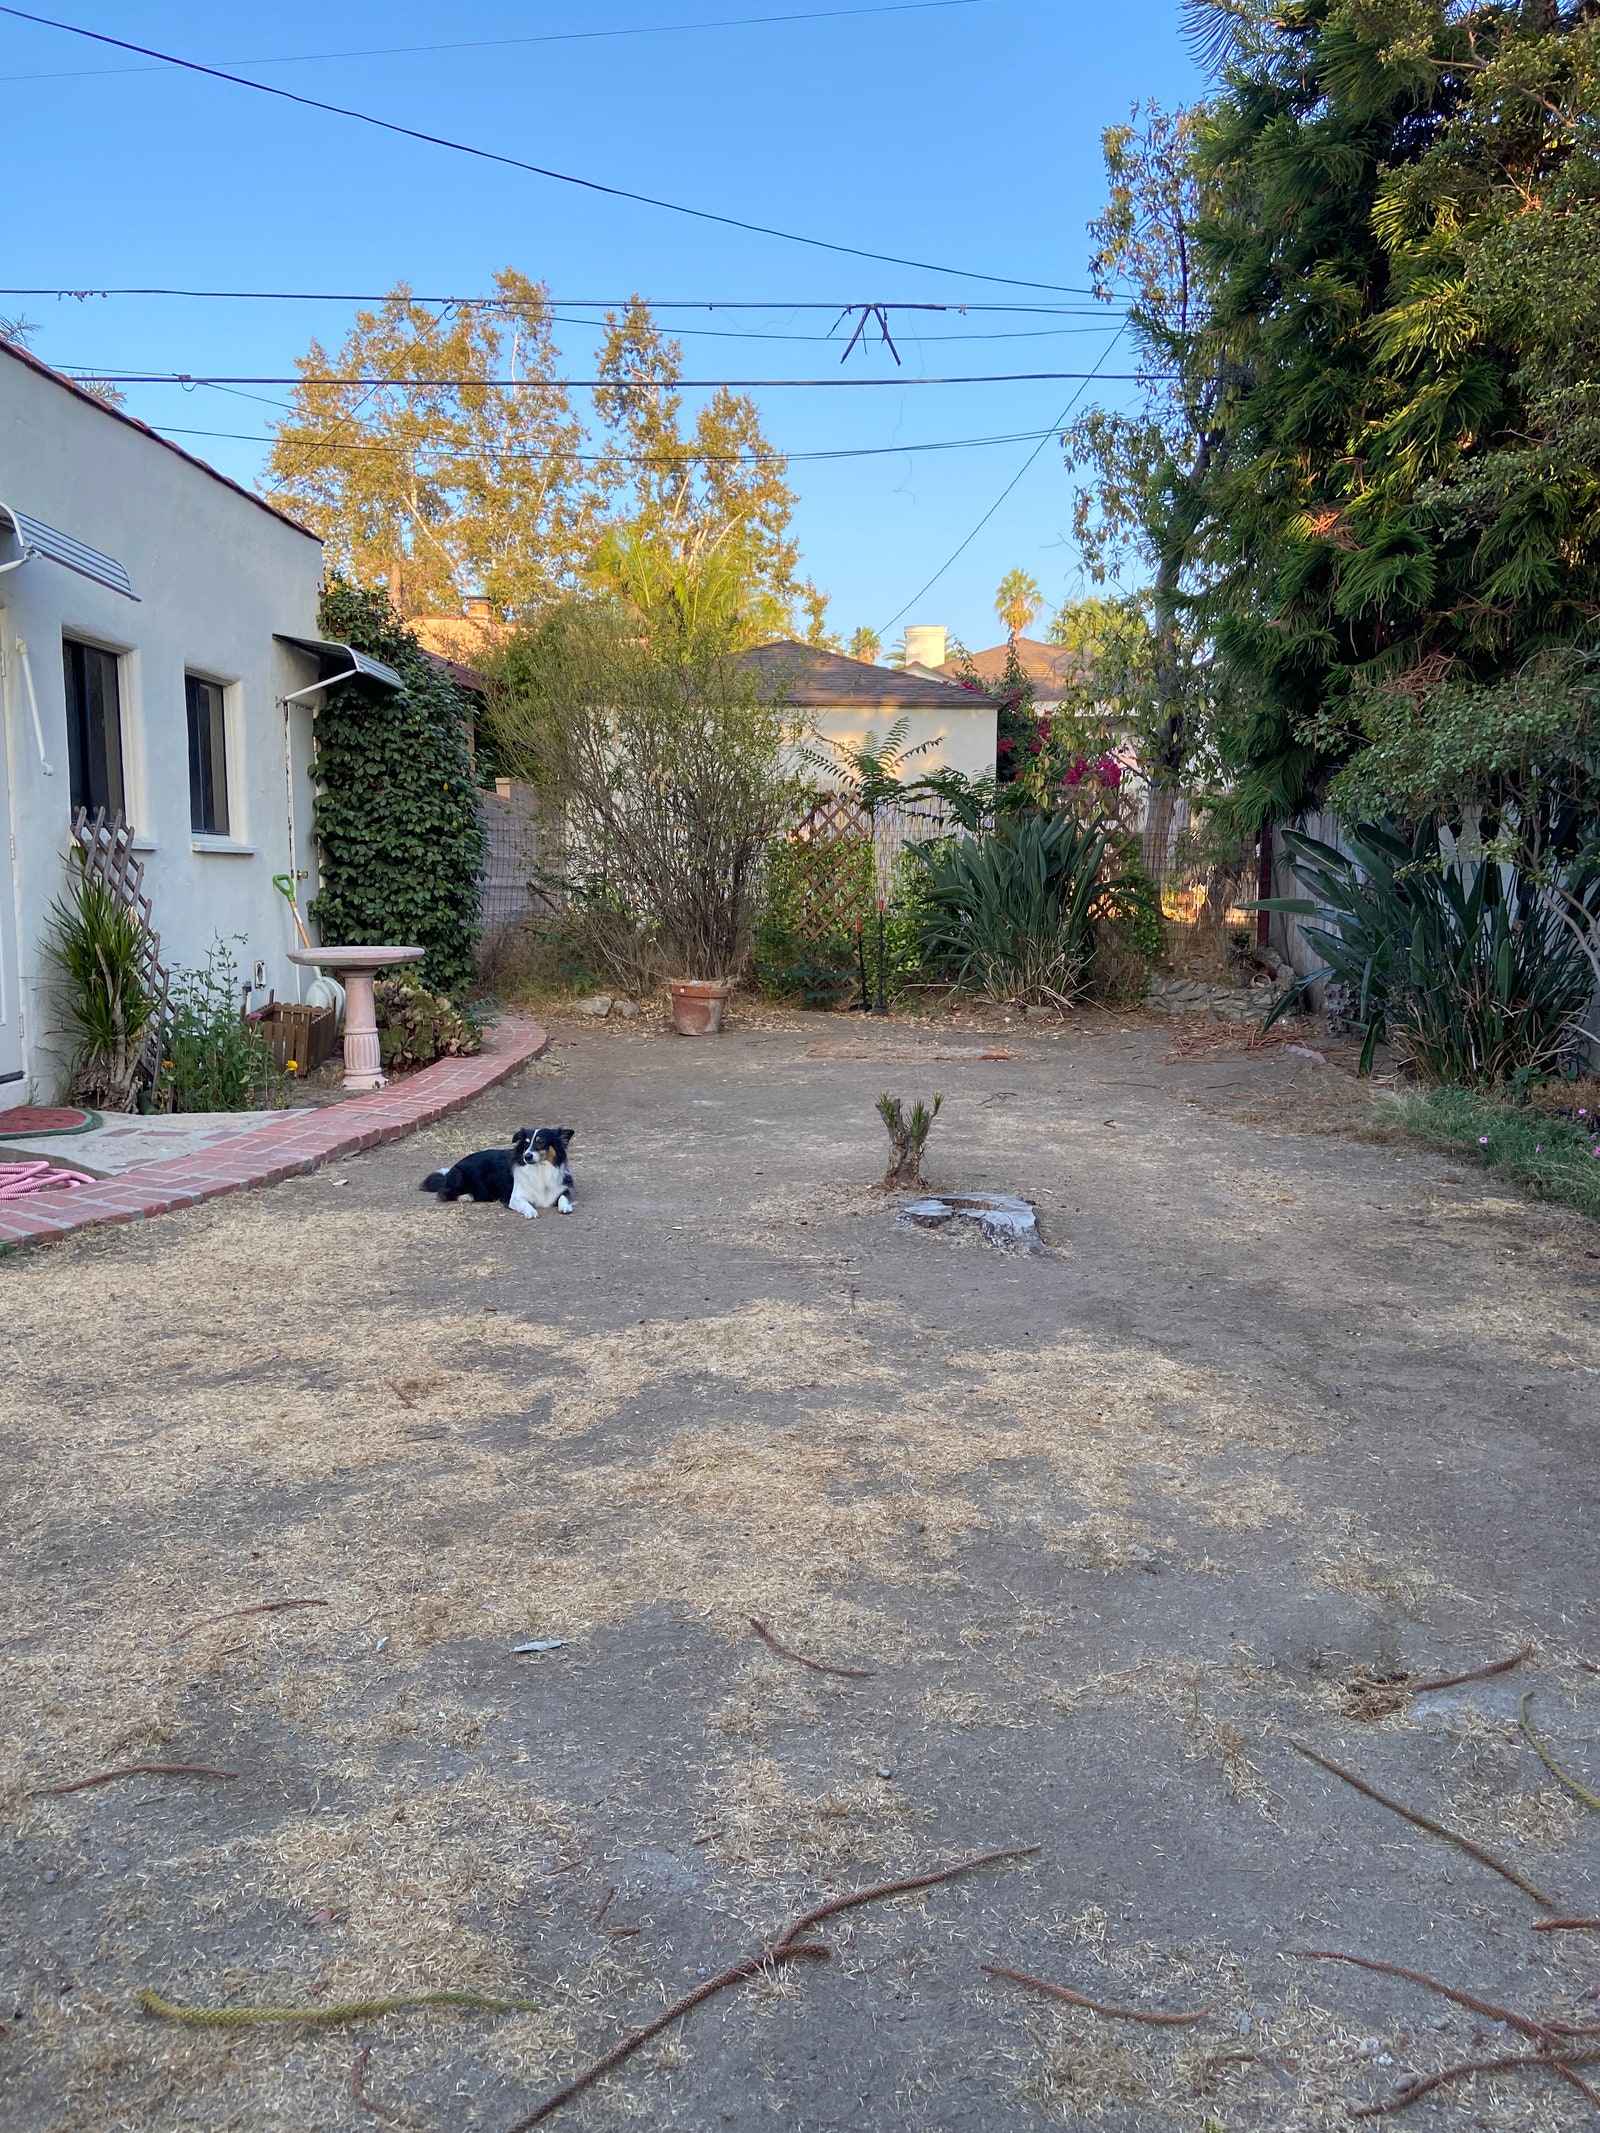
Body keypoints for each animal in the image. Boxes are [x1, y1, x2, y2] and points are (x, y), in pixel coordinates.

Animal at [420, 1126, 576, 1228]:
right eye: (526, 1144)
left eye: (541, 1141)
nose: (527, 1156)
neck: (540, 1169)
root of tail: (448, 1173)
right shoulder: (514, 1198)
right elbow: (525, 1204)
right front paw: (531, 1211)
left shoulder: (562, 1189)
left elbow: (563, 1197)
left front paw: (565, 1207)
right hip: (460, 1178)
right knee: (444, 1193)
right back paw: (466, 1196)